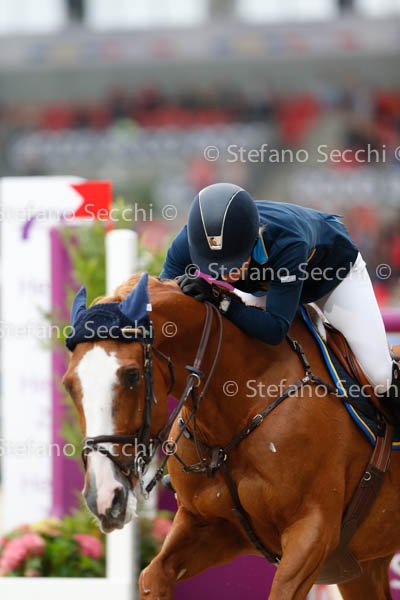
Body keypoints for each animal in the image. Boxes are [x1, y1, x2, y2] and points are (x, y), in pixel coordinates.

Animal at [62, 272, 400, 600]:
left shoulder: (312, 531)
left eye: (131, 375)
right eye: (69, 385)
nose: (104, 497)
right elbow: (152, 577)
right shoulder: (209, 526)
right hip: (363, 566)